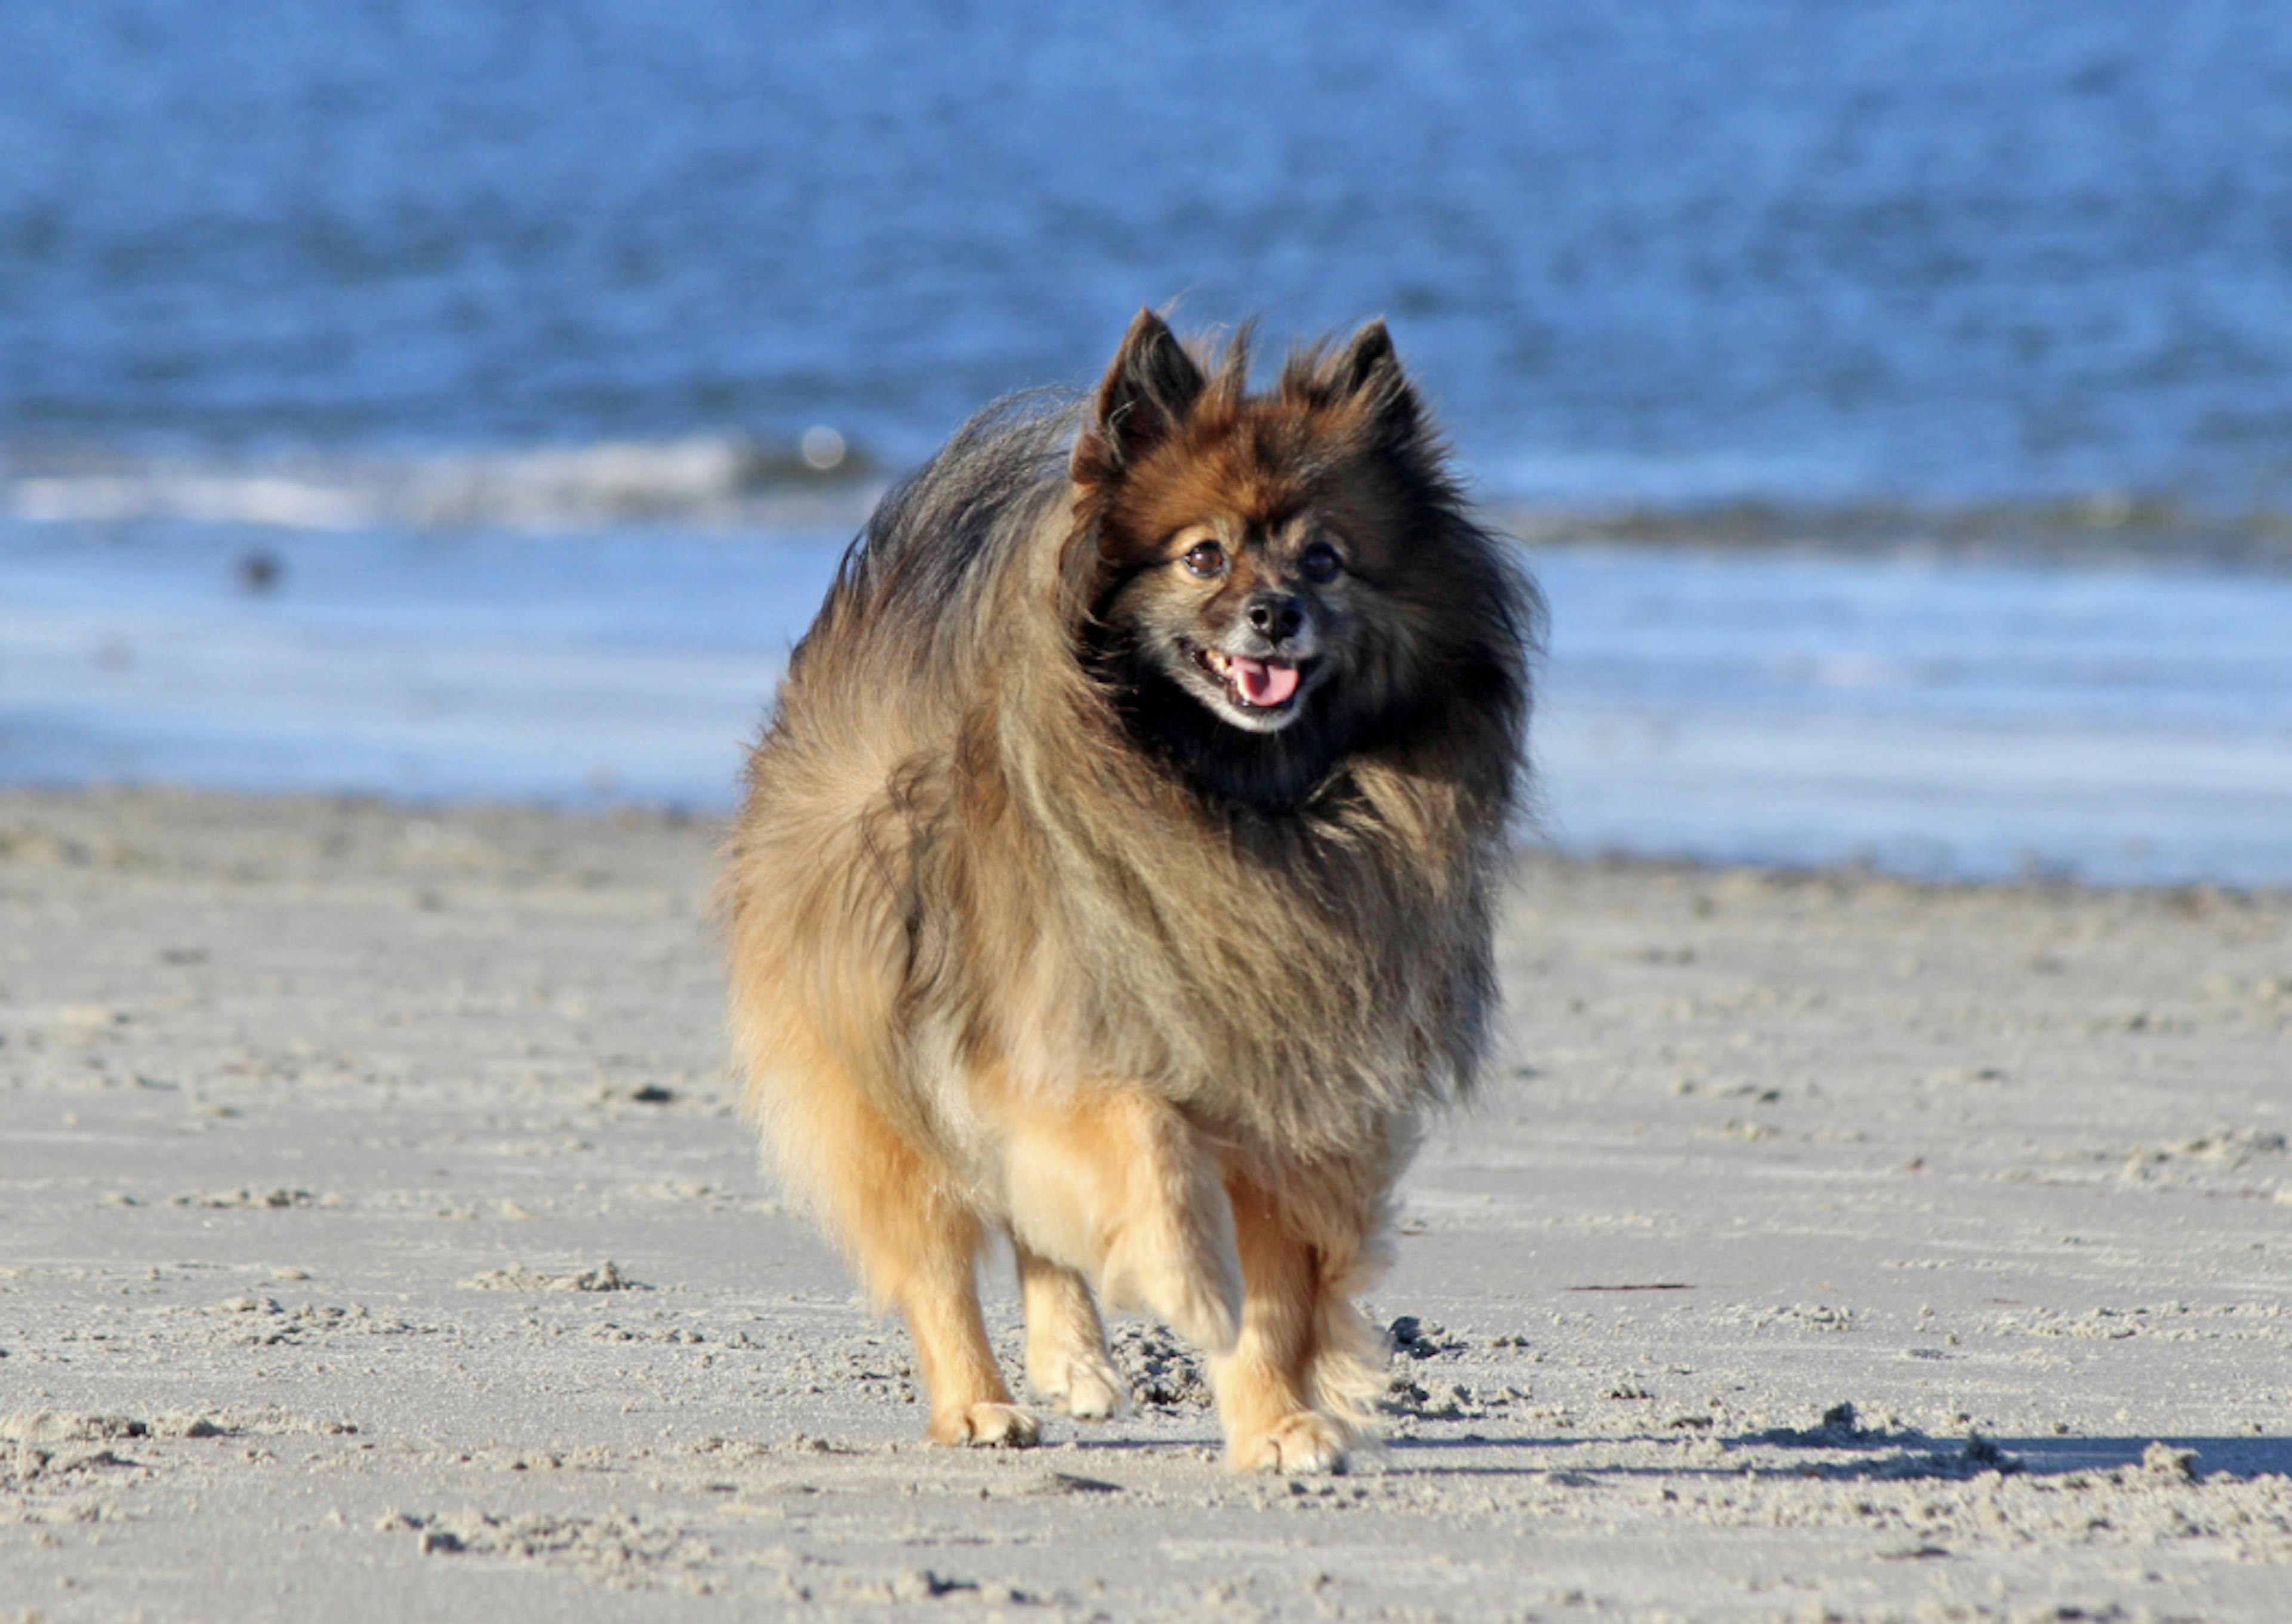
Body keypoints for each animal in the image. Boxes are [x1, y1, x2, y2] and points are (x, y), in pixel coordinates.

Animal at [724, 311, 1531, 1475]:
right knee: (936, 1247)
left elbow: (1277, 1297)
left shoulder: (1299, 1102)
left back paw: (1075, 1362)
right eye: (1203, 555)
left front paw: (1276, 1419)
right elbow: (1149, 1153)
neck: (1236, 806)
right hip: (884, 1059)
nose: (1275, 613)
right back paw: (980, 1403)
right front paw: (1193, 1286)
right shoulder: (1068, 1044)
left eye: (1325, 559)